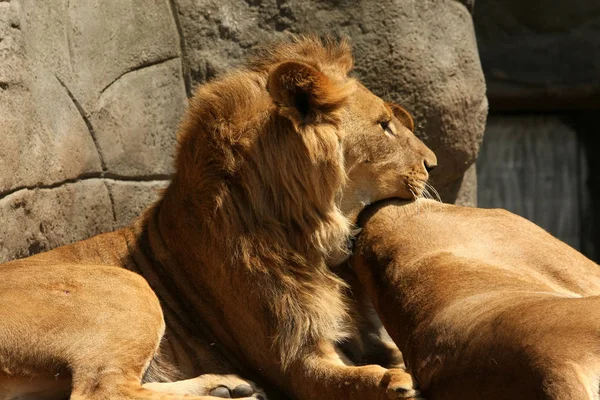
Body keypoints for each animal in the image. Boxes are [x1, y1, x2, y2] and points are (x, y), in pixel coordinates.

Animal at [0, 36, 436, 398]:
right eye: (384, 126)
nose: (431, 164)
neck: (310, 233)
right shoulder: (295, 361)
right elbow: (353, 378)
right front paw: (394, 381)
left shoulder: (360, 333)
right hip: (127, 286)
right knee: (104, 390)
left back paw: (226, 387)